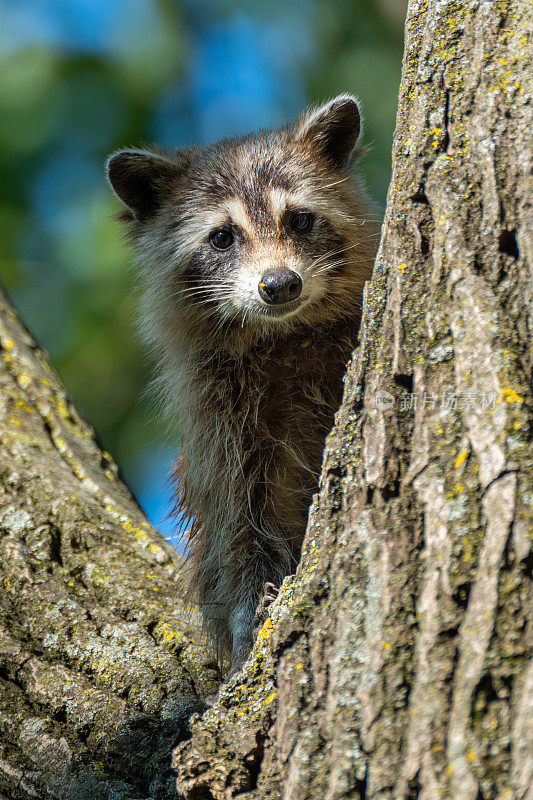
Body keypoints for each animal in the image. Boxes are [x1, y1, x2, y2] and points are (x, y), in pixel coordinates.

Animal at [105, 95, 378, 680]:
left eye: (299, 219)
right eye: (222, 237)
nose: (280, 284)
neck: (282, 334)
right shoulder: (220, 419)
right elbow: (238, 524)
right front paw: (250, 612)